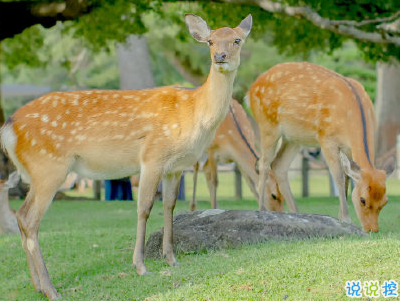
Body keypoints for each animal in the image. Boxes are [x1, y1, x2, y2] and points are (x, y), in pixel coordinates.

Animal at [0, 13, 253, 298]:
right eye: (210, 41)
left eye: (237, 40)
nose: (220, 56)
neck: (194, 112)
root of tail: (8, 128)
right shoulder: (152, 156)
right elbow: (144, 208)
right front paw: (140, 266)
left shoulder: (176, 166)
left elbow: (169, 206)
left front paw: (171, 259)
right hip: (48, 166)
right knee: (29, 219)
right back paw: (51, 289)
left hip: (37, 172)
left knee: (21, 216)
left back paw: (38, 287)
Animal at [248, 61, 396, 232]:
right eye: (362, 199)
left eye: (385, 201)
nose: (372, 229)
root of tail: (251, 90)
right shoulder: (326, 138)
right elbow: (338, 177)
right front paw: (347, 219)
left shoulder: (347, 148)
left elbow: (347, 178)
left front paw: (341, 218)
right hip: (267, 124)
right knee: (263, 164)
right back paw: (261, 210)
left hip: (293, 137)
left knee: (278, 164)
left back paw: (297, 214)